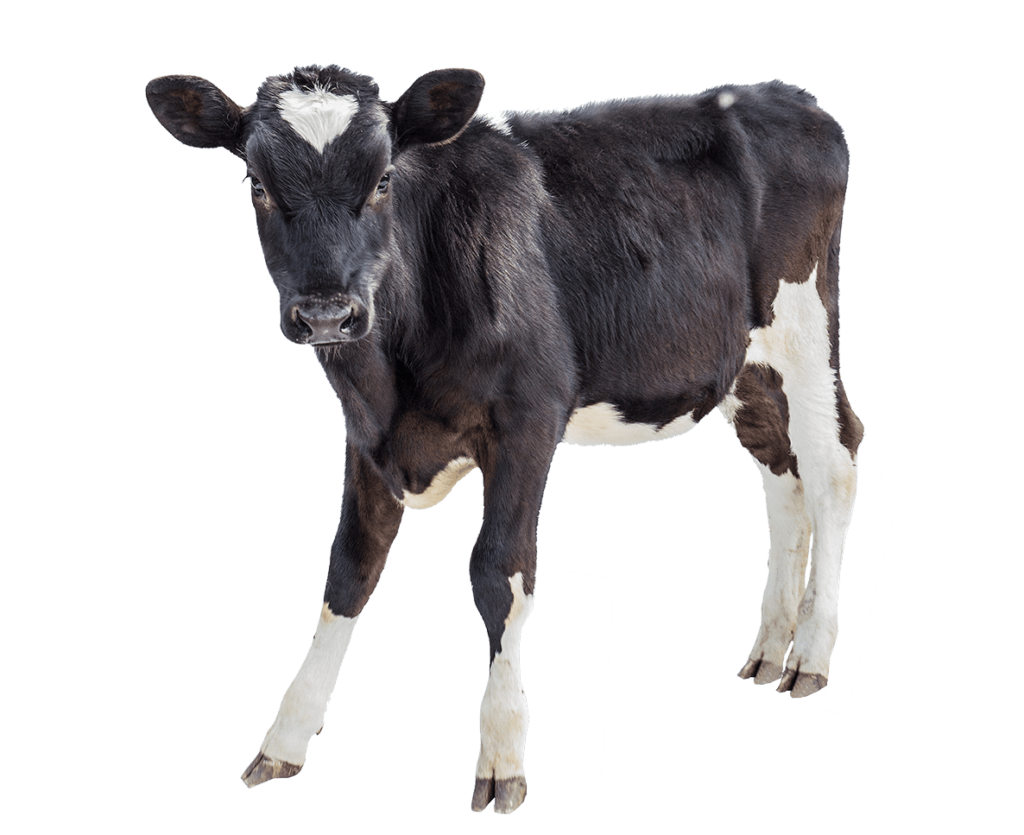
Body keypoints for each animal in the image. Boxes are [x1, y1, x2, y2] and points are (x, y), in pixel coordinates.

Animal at [144, 65, 862, 814]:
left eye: (383, 179)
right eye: (254, 182)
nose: (326, 315)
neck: (393, 377)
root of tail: (783, 94)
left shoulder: (527, 419)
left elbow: (500, 574)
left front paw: (502, 755)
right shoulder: (368, 436)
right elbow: (348, 571)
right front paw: (282, 740)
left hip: (805, 331)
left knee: (833, 463)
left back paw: (811, 654)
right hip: (746, 367)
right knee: (780, 472)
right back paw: (771, 645)